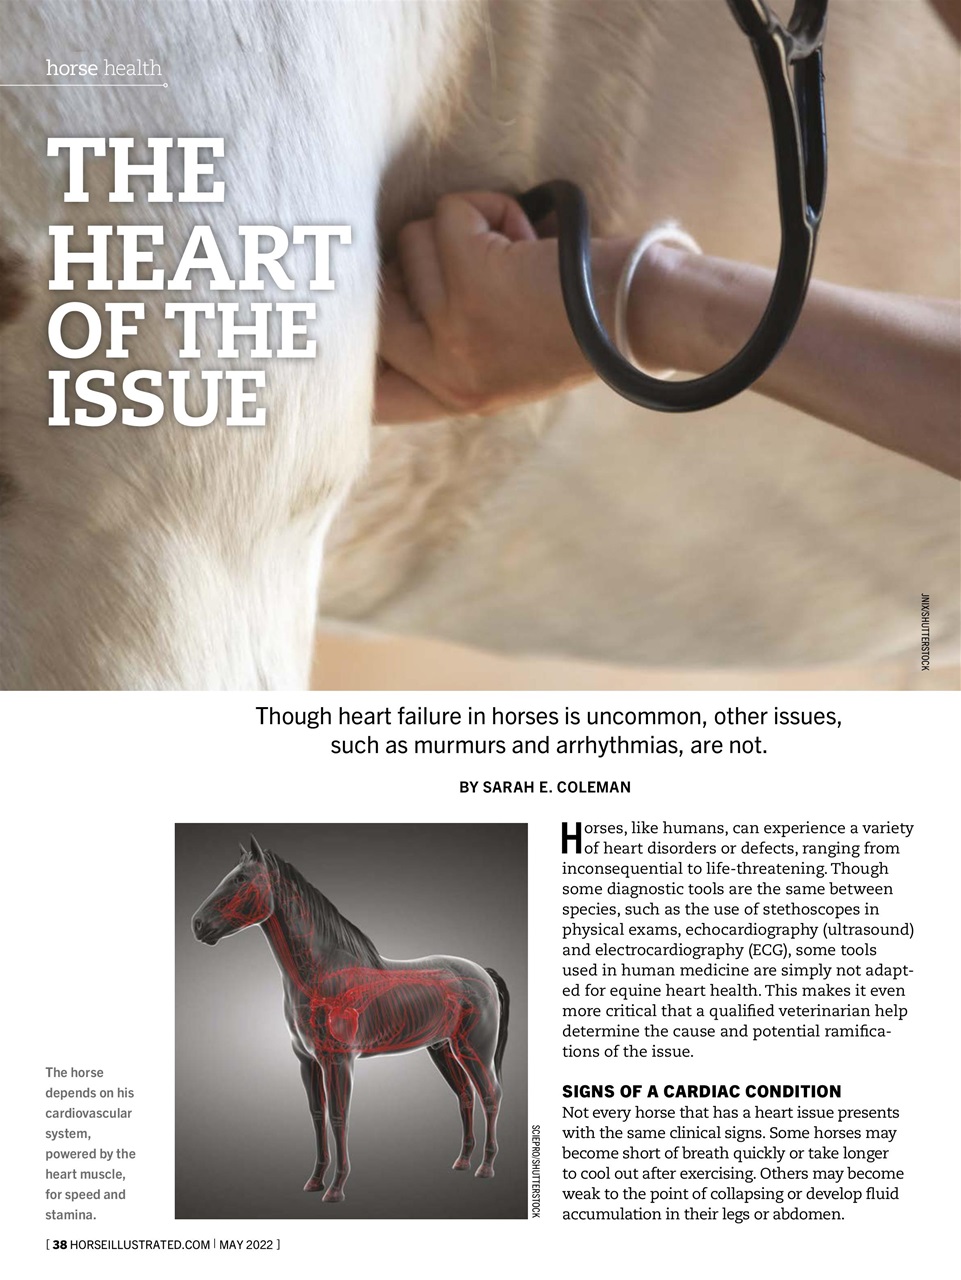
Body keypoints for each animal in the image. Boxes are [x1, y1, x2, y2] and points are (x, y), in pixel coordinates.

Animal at [190, 836, 509, 1202]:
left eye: (241, 878)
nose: (197, 924)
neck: (324, 972)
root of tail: (482, 973)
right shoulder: (308, 1061)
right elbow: (318, 1116)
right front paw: (315, 1181)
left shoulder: (339, 1060)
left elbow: (339, 1117)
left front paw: (336, 1189)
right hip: (442, 1049)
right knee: (465, 1096)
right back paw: (462, 1161)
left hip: (473, 1049)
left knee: (490, 1095)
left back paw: (485, 1167)